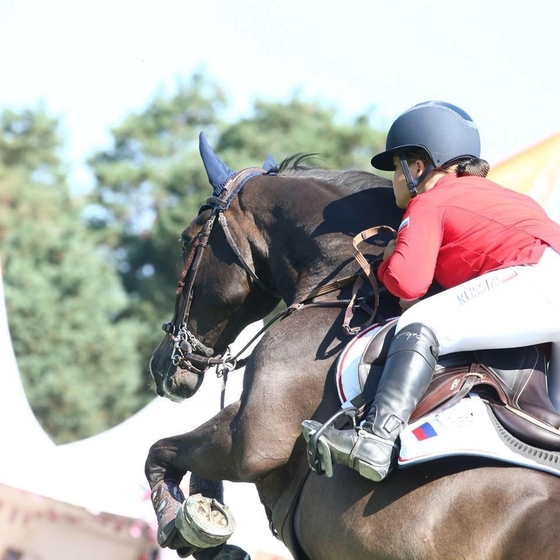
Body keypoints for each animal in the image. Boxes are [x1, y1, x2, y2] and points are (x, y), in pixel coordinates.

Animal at [143, 136, 560, 560]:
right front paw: (204, 522)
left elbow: (160, 451)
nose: (160, 367)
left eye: (186, 240)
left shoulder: (253, 441)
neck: (341, 290)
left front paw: (179, 523)